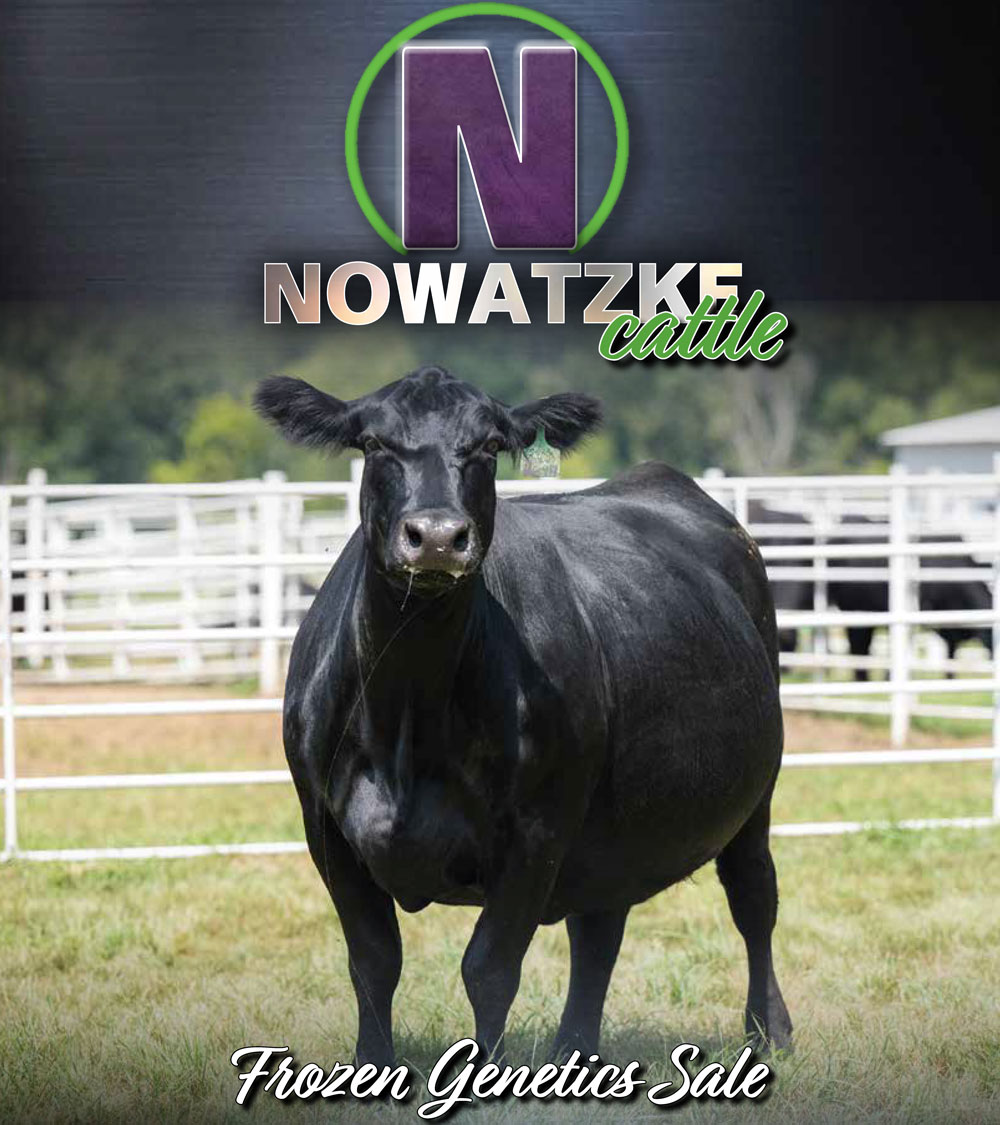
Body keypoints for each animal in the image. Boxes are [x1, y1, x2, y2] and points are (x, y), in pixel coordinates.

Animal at [254, 365, 792, 1067]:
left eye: (488, 445)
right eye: (373, 443)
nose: (436, 536)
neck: (409, 722)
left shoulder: (537, 833)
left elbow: (488, 969)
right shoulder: (326, 829)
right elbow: (372, 961)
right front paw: (371, 1066)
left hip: (756, 791)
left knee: (753, 897)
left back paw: (769, 1030)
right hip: (614, 828)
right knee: (600, 930)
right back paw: (576, 1050)